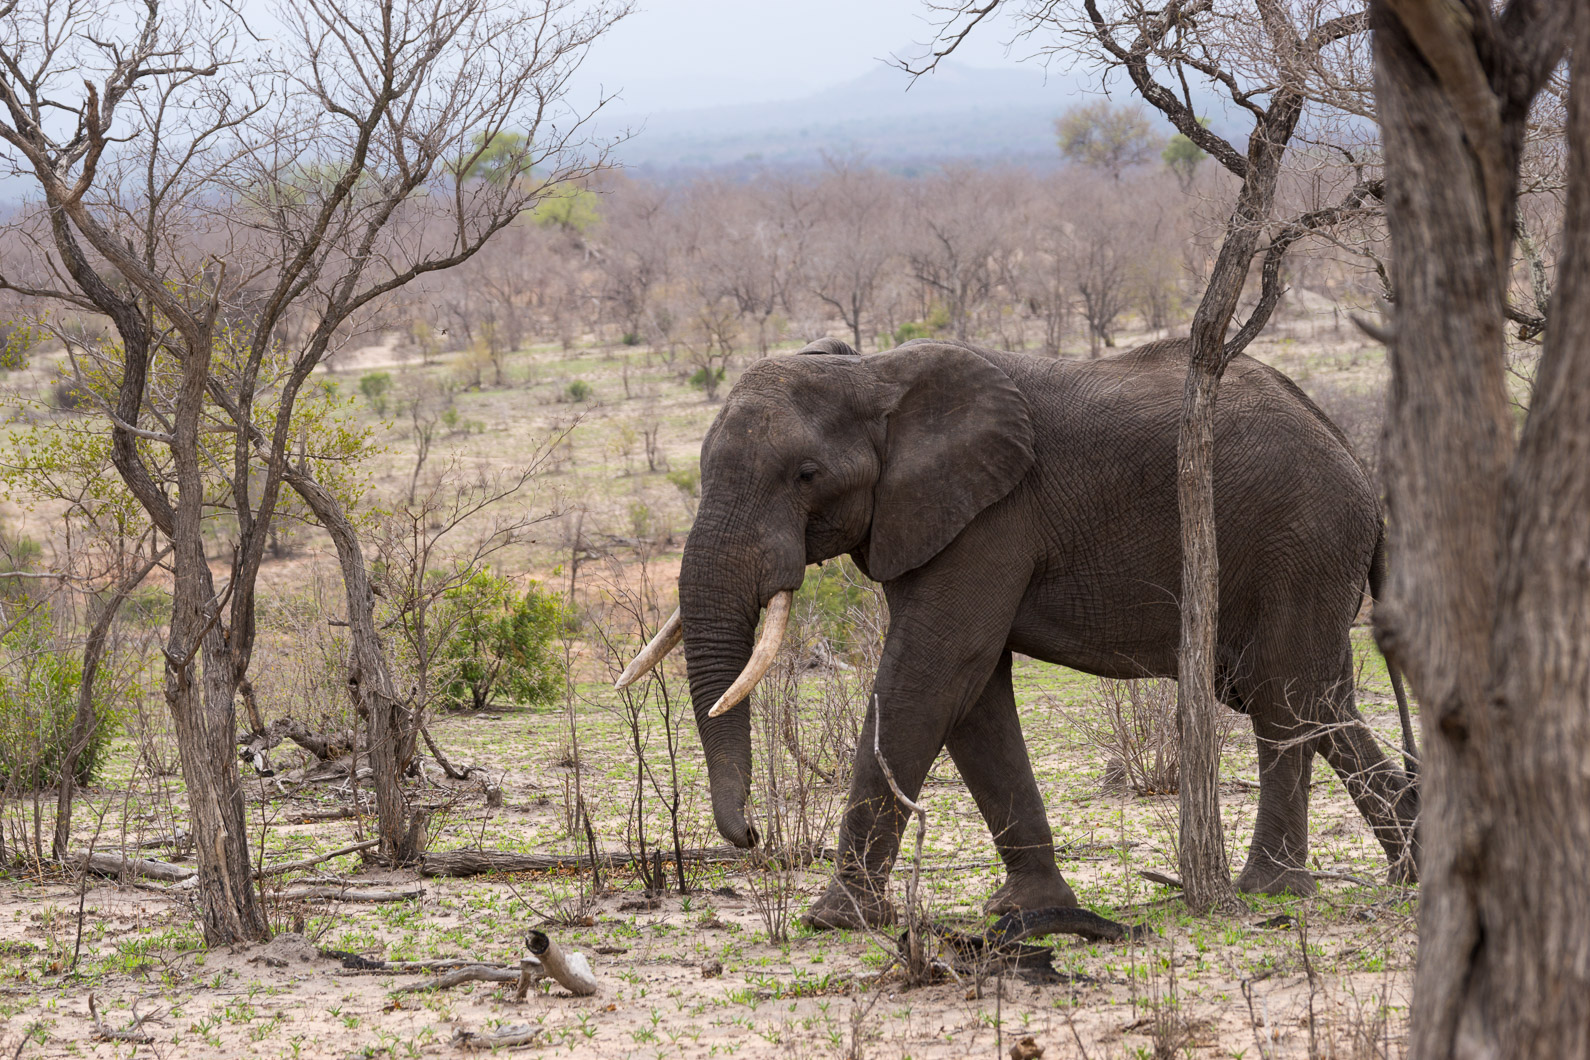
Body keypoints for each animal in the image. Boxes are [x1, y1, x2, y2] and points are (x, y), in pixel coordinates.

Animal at [618, 336, 1419, 929]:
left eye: (806, 474)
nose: (752, 835)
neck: (876, 373)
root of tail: (1359, 468)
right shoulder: (942, 518)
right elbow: (974, 697)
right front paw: (1026, 910)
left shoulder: (990, 517)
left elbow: (933, 672)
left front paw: (835, 920)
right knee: (1319, 701)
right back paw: (1410, 870)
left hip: (1301, 539)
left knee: (1284, 699)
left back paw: (1269, 892)